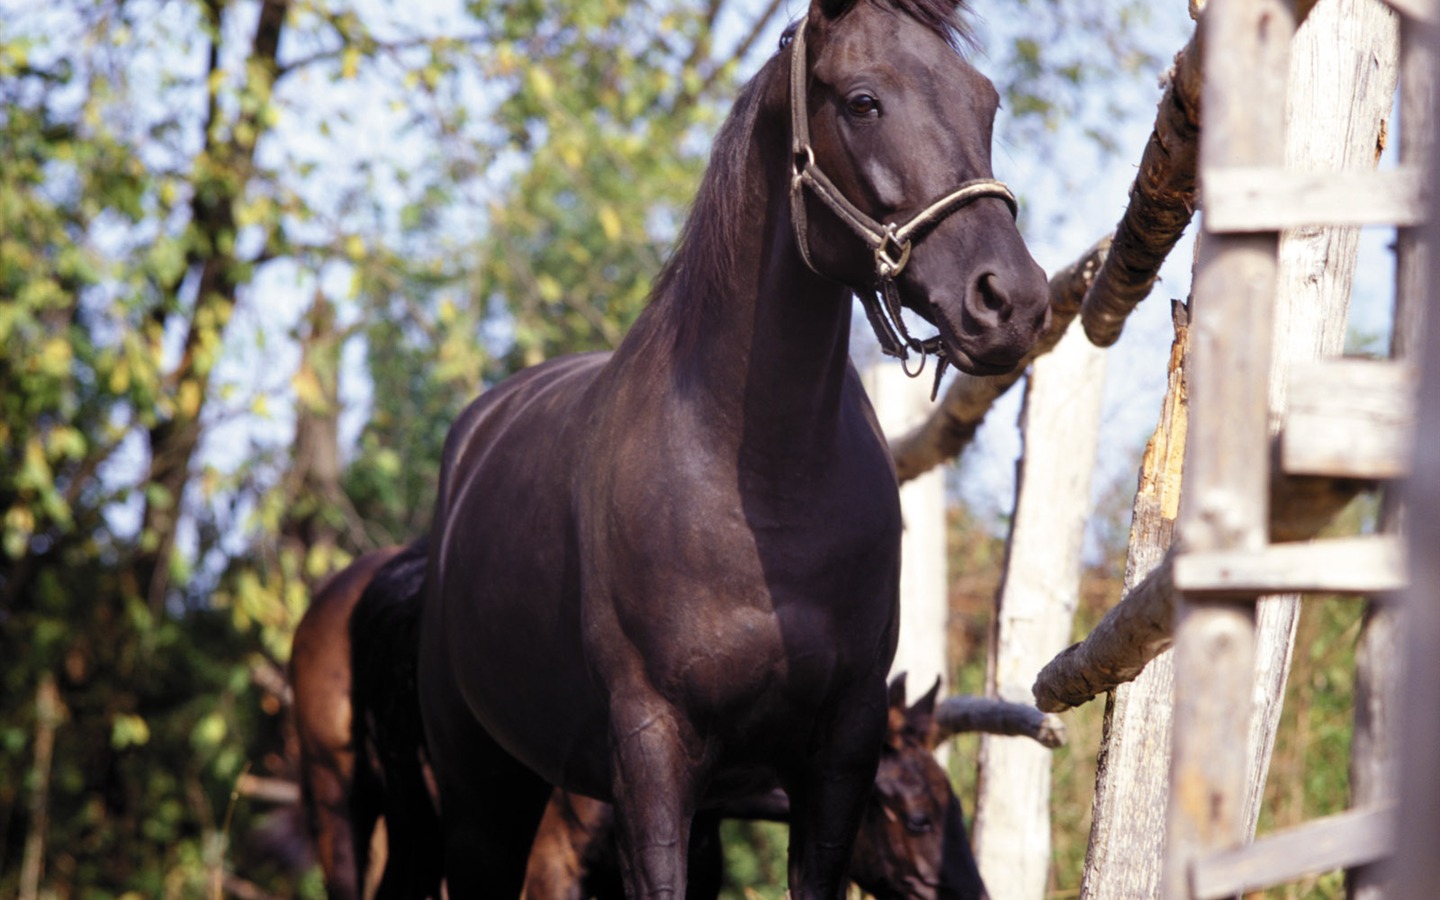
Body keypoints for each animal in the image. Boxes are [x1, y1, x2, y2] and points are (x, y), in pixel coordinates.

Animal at [417, 0, 1048, 892]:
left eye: (986, 102)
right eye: (863, 101)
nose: (1011, 300)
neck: (761, 489)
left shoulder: (839, 751)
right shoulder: (652, 753)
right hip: (480, 789)